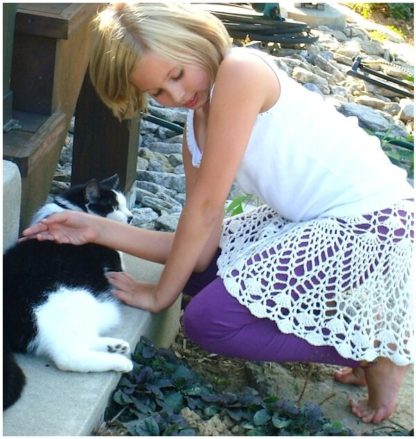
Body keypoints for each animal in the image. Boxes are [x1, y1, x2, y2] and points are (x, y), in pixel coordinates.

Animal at [4, 174, 136, 410]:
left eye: (124, 204)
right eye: (113, 207)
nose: (131, 217)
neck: (72, 209)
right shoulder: (115, 264)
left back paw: (115, 346)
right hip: (76, 299)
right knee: (68, 356)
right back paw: (120, 362)